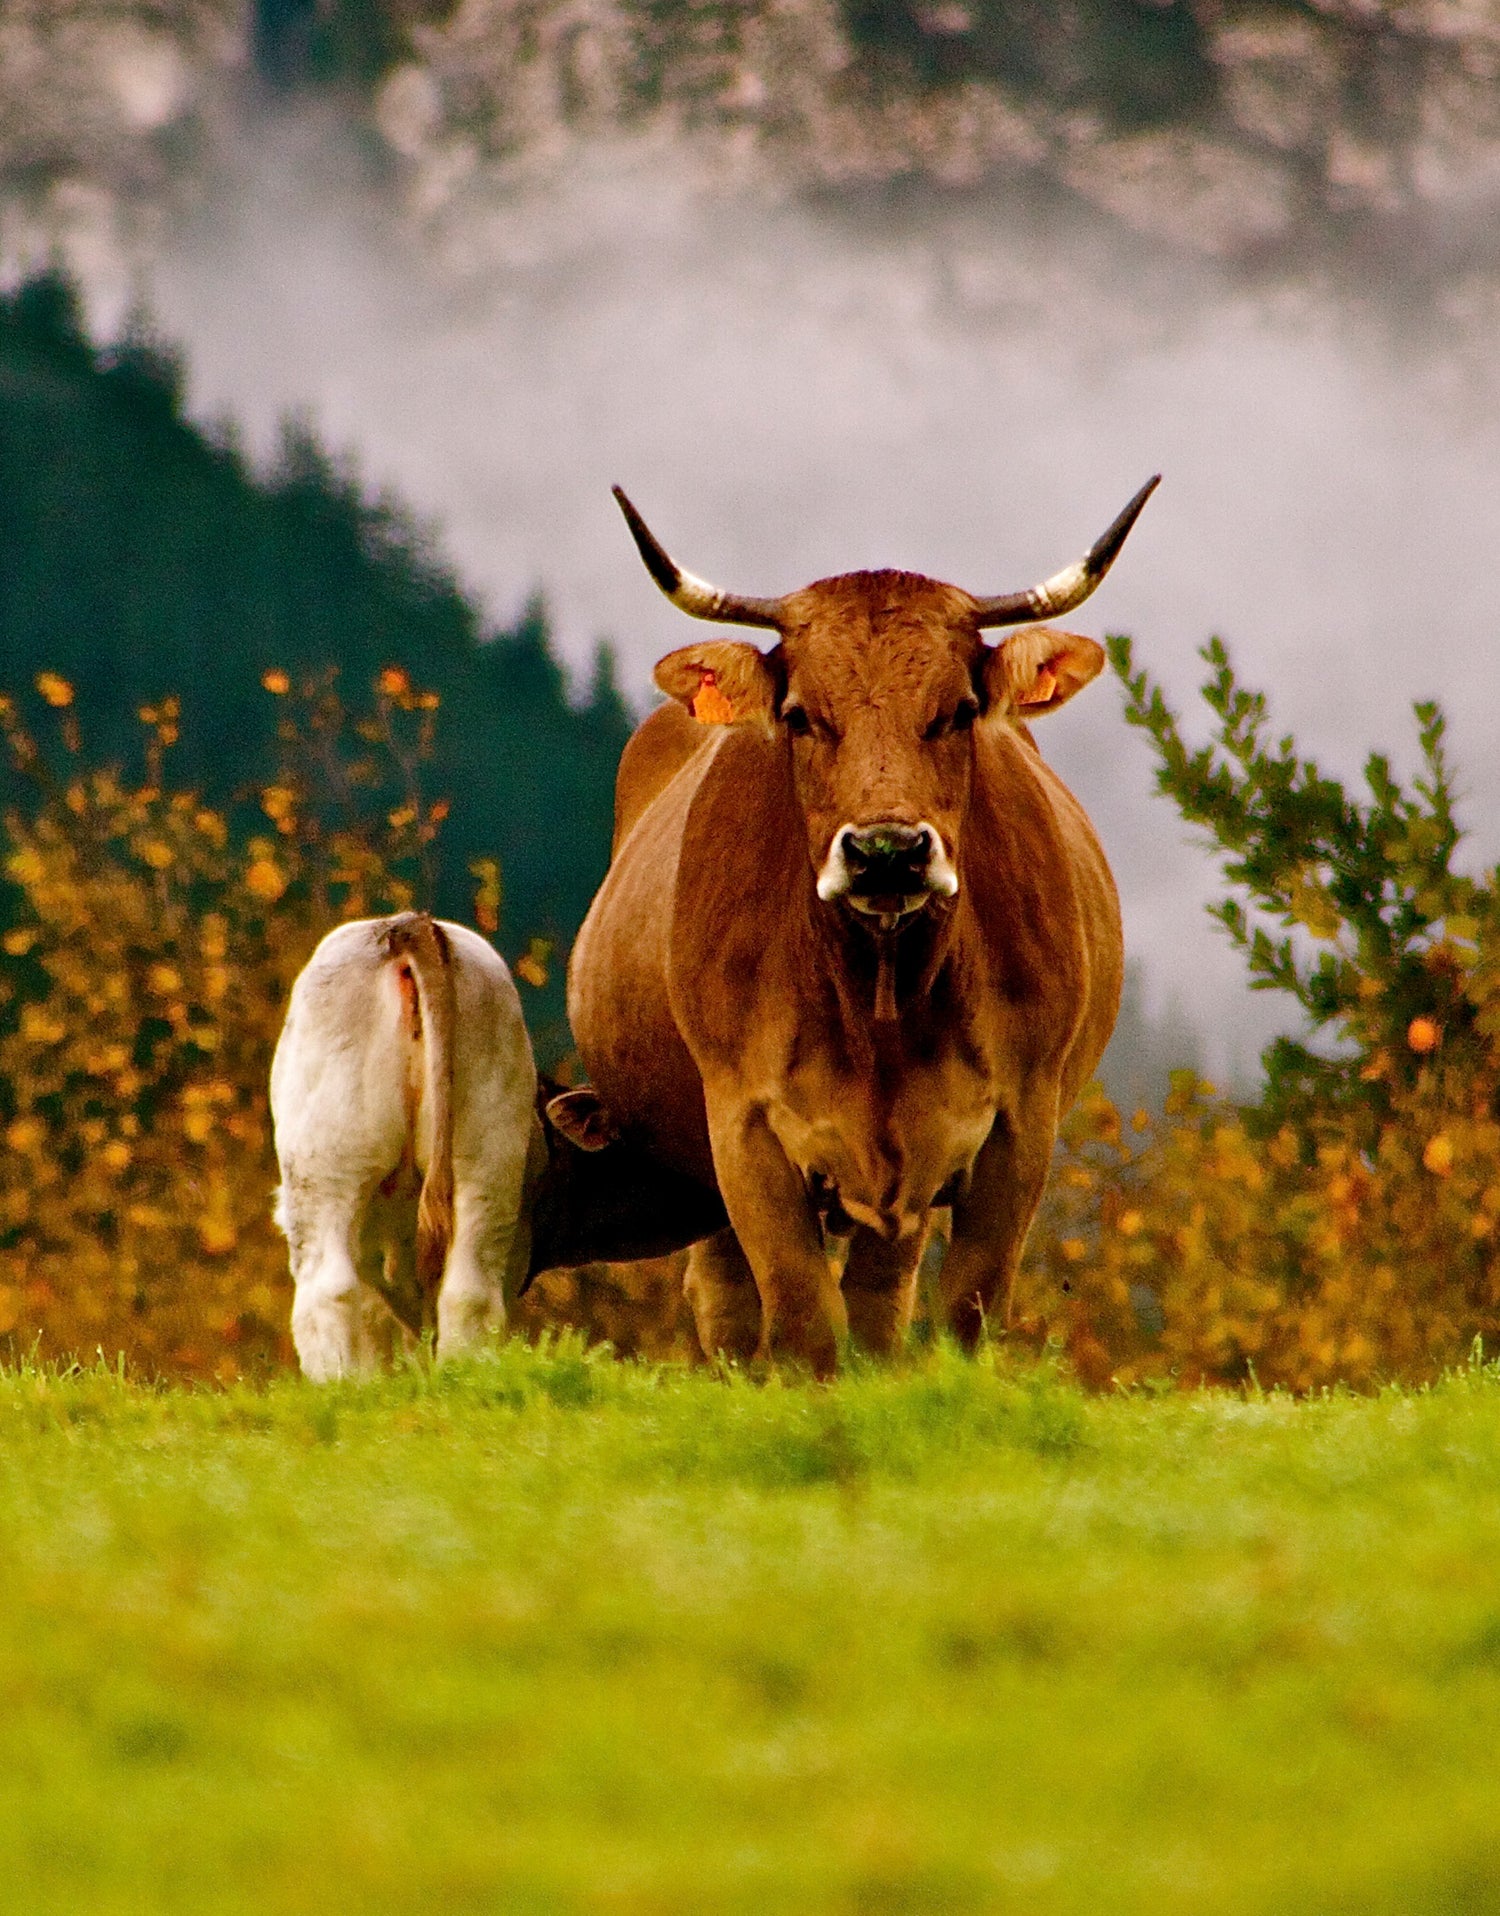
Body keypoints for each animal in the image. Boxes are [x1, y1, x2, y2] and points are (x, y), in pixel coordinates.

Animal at [567, 478, 1158, 1375]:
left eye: (958, 711)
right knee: (726, 1302)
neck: (880, 1002)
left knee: (880, 1302)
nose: (887, 852)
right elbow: (804, 1323)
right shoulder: (743, 1132)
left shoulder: (1017, 1127)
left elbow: (957, 1316)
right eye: (802, 715)